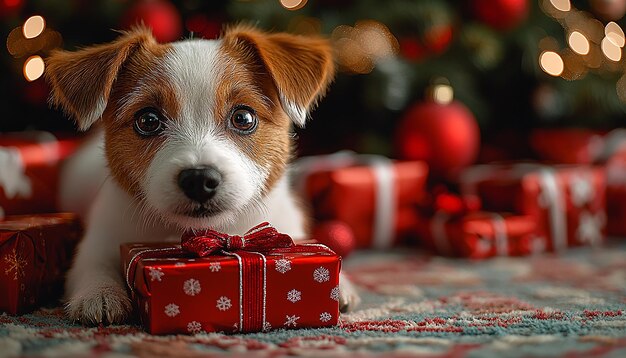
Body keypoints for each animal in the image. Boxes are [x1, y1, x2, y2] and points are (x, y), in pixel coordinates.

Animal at [46, 25, 358, 326]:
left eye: (243, 118)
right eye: (147, 120)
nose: (198, 180)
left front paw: (342, 285)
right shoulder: (100, 239)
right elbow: (91, 264)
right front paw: (99, 293)